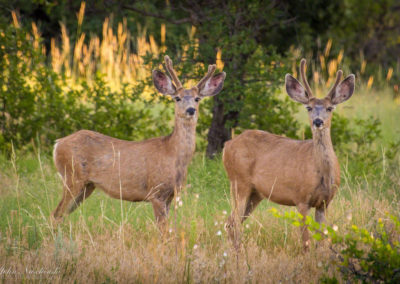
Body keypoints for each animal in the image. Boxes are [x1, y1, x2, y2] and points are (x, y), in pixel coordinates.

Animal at [51, 55, 225, 231]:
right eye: (177, 98)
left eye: (197, 99)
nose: (190, 110)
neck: (173, 155)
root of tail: (58, 144)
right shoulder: (156, 192)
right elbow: (163, 230)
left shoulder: (170, 195)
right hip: (72, 176)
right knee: (56, 213)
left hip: (87, 185)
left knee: (61, 214)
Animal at [223, 58, 354, 250]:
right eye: (308, 107)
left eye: (330, 108)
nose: (318, 121)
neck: (321, 173)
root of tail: (227, 145)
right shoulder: (301, 198)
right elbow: (306, 241)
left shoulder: (324, 203)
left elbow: (321, 239)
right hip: (239, 182)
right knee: (234, 222)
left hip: (256, 193)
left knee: (232, 222)